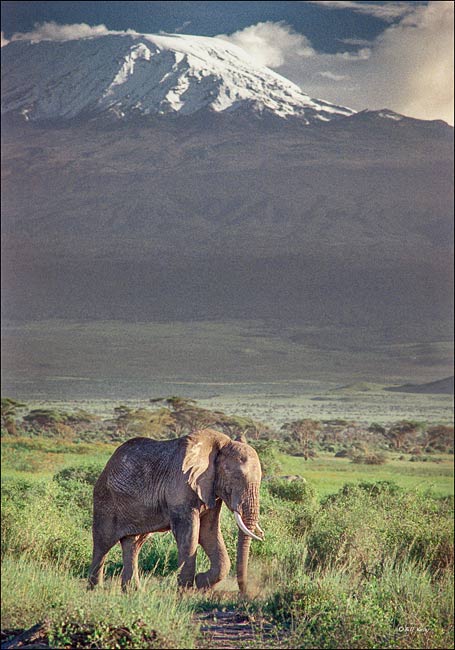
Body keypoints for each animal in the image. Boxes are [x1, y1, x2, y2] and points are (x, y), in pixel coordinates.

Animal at [88, 428, 263, 593]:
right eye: (237, 478)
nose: (244, 593)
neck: (220, 444)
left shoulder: (210, 488)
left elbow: (208, 532)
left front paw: (201, 583)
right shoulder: (181, 485)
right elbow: (189, 535)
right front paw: (185, 594)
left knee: (133, 544)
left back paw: (133, 592)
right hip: (105, 500)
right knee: (102, 543)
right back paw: (96, 591)